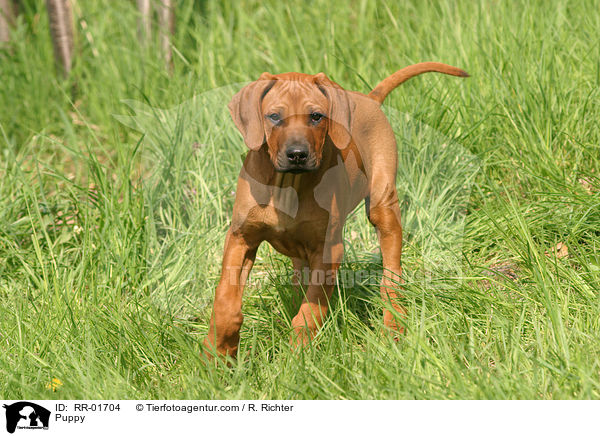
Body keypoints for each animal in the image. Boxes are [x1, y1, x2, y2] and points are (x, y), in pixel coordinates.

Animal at [204, 61, 472, 358]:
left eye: (316, 116)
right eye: (274, 116)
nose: (297, 154)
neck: (287, 186)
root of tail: (369, 99)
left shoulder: (328, 250)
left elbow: (310, 310)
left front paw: (297, 356)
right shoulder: (241, 238)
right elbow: (225, 299)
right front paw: (217, 352)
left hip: (382, 204)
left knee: (391, 273)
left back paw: (392, 324)